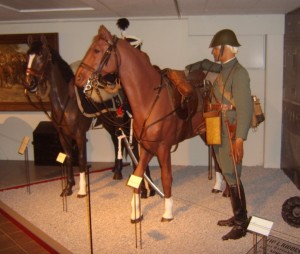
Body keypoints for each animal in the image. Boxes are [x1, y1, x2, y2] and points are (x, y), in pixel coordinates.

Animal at [24, 35, 155, 198]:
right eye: (27, 56)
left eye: (41, 55)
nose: (29, 83)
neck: (66, 102)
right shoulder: (62, 135)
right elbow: (68, 157)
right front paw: (68, 187)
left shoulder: (79, 134)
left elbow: (81, 159)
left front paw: (82, 190)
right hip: (110, 124)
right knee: (116, 142)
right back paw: (117, 171)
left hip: (126, 125)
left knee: (135, 149)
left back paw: (143, 186)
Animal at [74, 25, 207, 222]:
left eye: (96, 50)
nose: (78, 78)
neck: (149, 98)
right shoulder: (145, 147)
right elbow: (137, 174)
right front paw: (136, 211)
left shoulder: (163, 148)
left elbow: (166, 177)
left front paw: (168, 212)